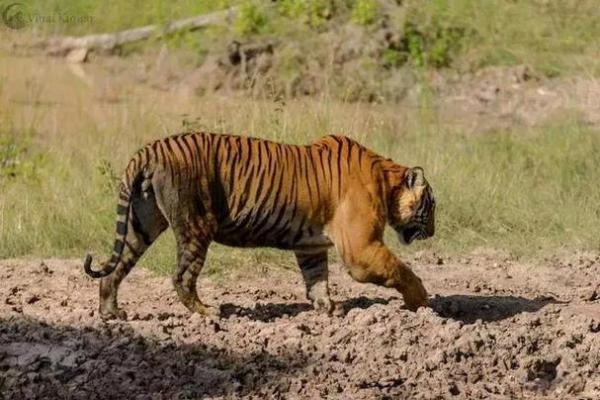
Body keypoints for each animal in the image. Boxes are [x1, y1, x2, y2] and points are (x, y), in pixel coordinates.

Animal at [84, 133, 436, 320]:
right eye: (431, 206)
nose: (432, 232)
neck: (386, 181)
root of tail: (151, 148)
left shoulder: (311, 246)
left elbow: (317, 279)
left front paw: (329, 309)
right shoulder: (360, 249)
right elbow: (400, 269)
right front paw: (421, 300)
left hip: (141, 224)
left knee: (115, 270)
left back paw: (111, 313)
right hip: (197, 225)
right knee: (182, 276)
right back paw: (208, 312)